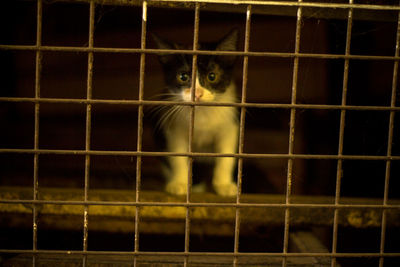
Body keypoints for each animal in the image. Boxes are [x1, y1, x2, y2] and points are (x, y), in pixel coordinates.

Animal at [152, 29, 238, 197]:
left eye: (212, 76)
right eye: (183, 76)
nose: (197, 94)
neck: (201, 116)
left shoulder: (229, 126)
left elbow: (226, 156)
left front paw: (224, 185)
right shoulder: (173, 128)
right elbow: (178, 156)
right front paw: (179, 183)